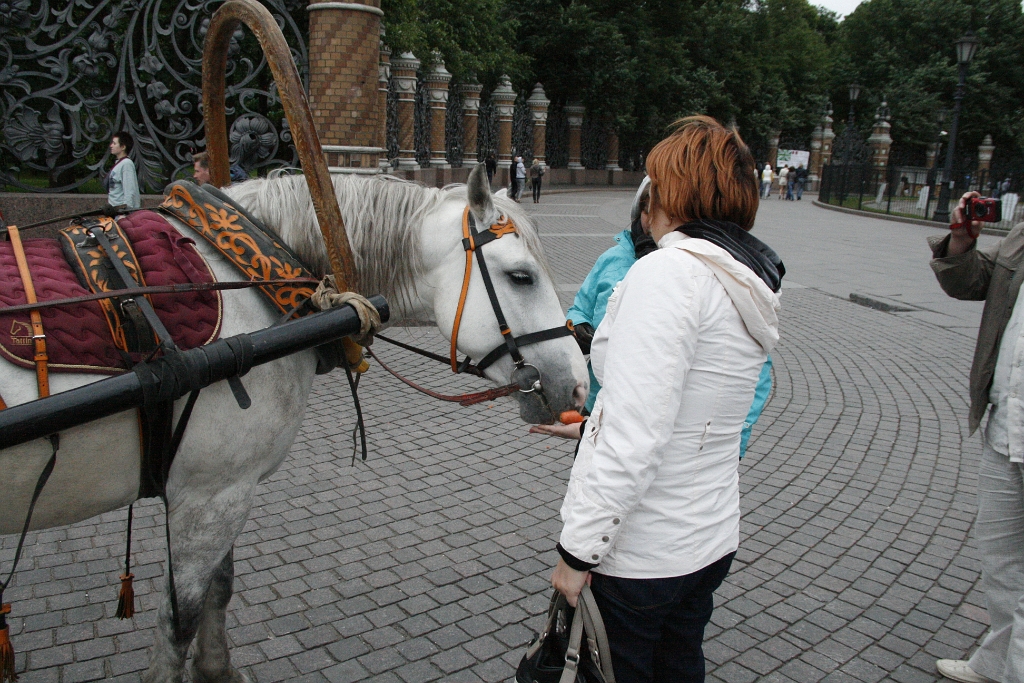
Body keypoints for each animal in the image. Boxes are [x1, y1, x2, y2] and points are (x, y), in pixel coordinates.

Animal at [0, 163, 588, 683]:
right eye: (520, 276)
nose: (581, 386)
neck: (246, 285)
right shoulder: (209, 495)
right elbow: (179, 620)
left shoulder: (223, 491)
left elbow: (220, 587)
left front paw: (217, 669)